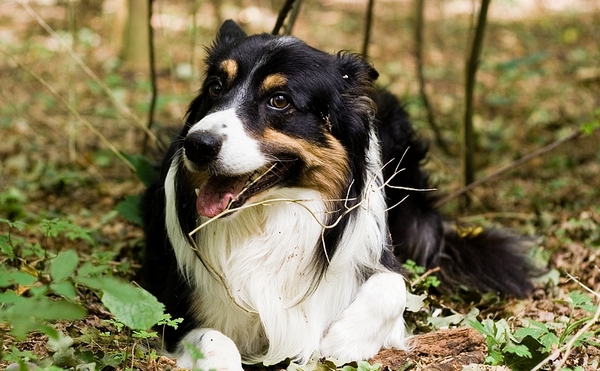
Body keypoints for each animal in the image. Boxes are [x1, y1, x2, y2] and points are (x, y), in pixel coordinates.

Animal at [142, 21, 536, 371]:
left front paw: (344, 340)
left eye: (279, 100)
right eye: (215, 87)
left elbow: (392, 284)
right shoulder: (175, 309)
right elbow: (213, 337)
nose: (197, 144)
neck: (273, 214)